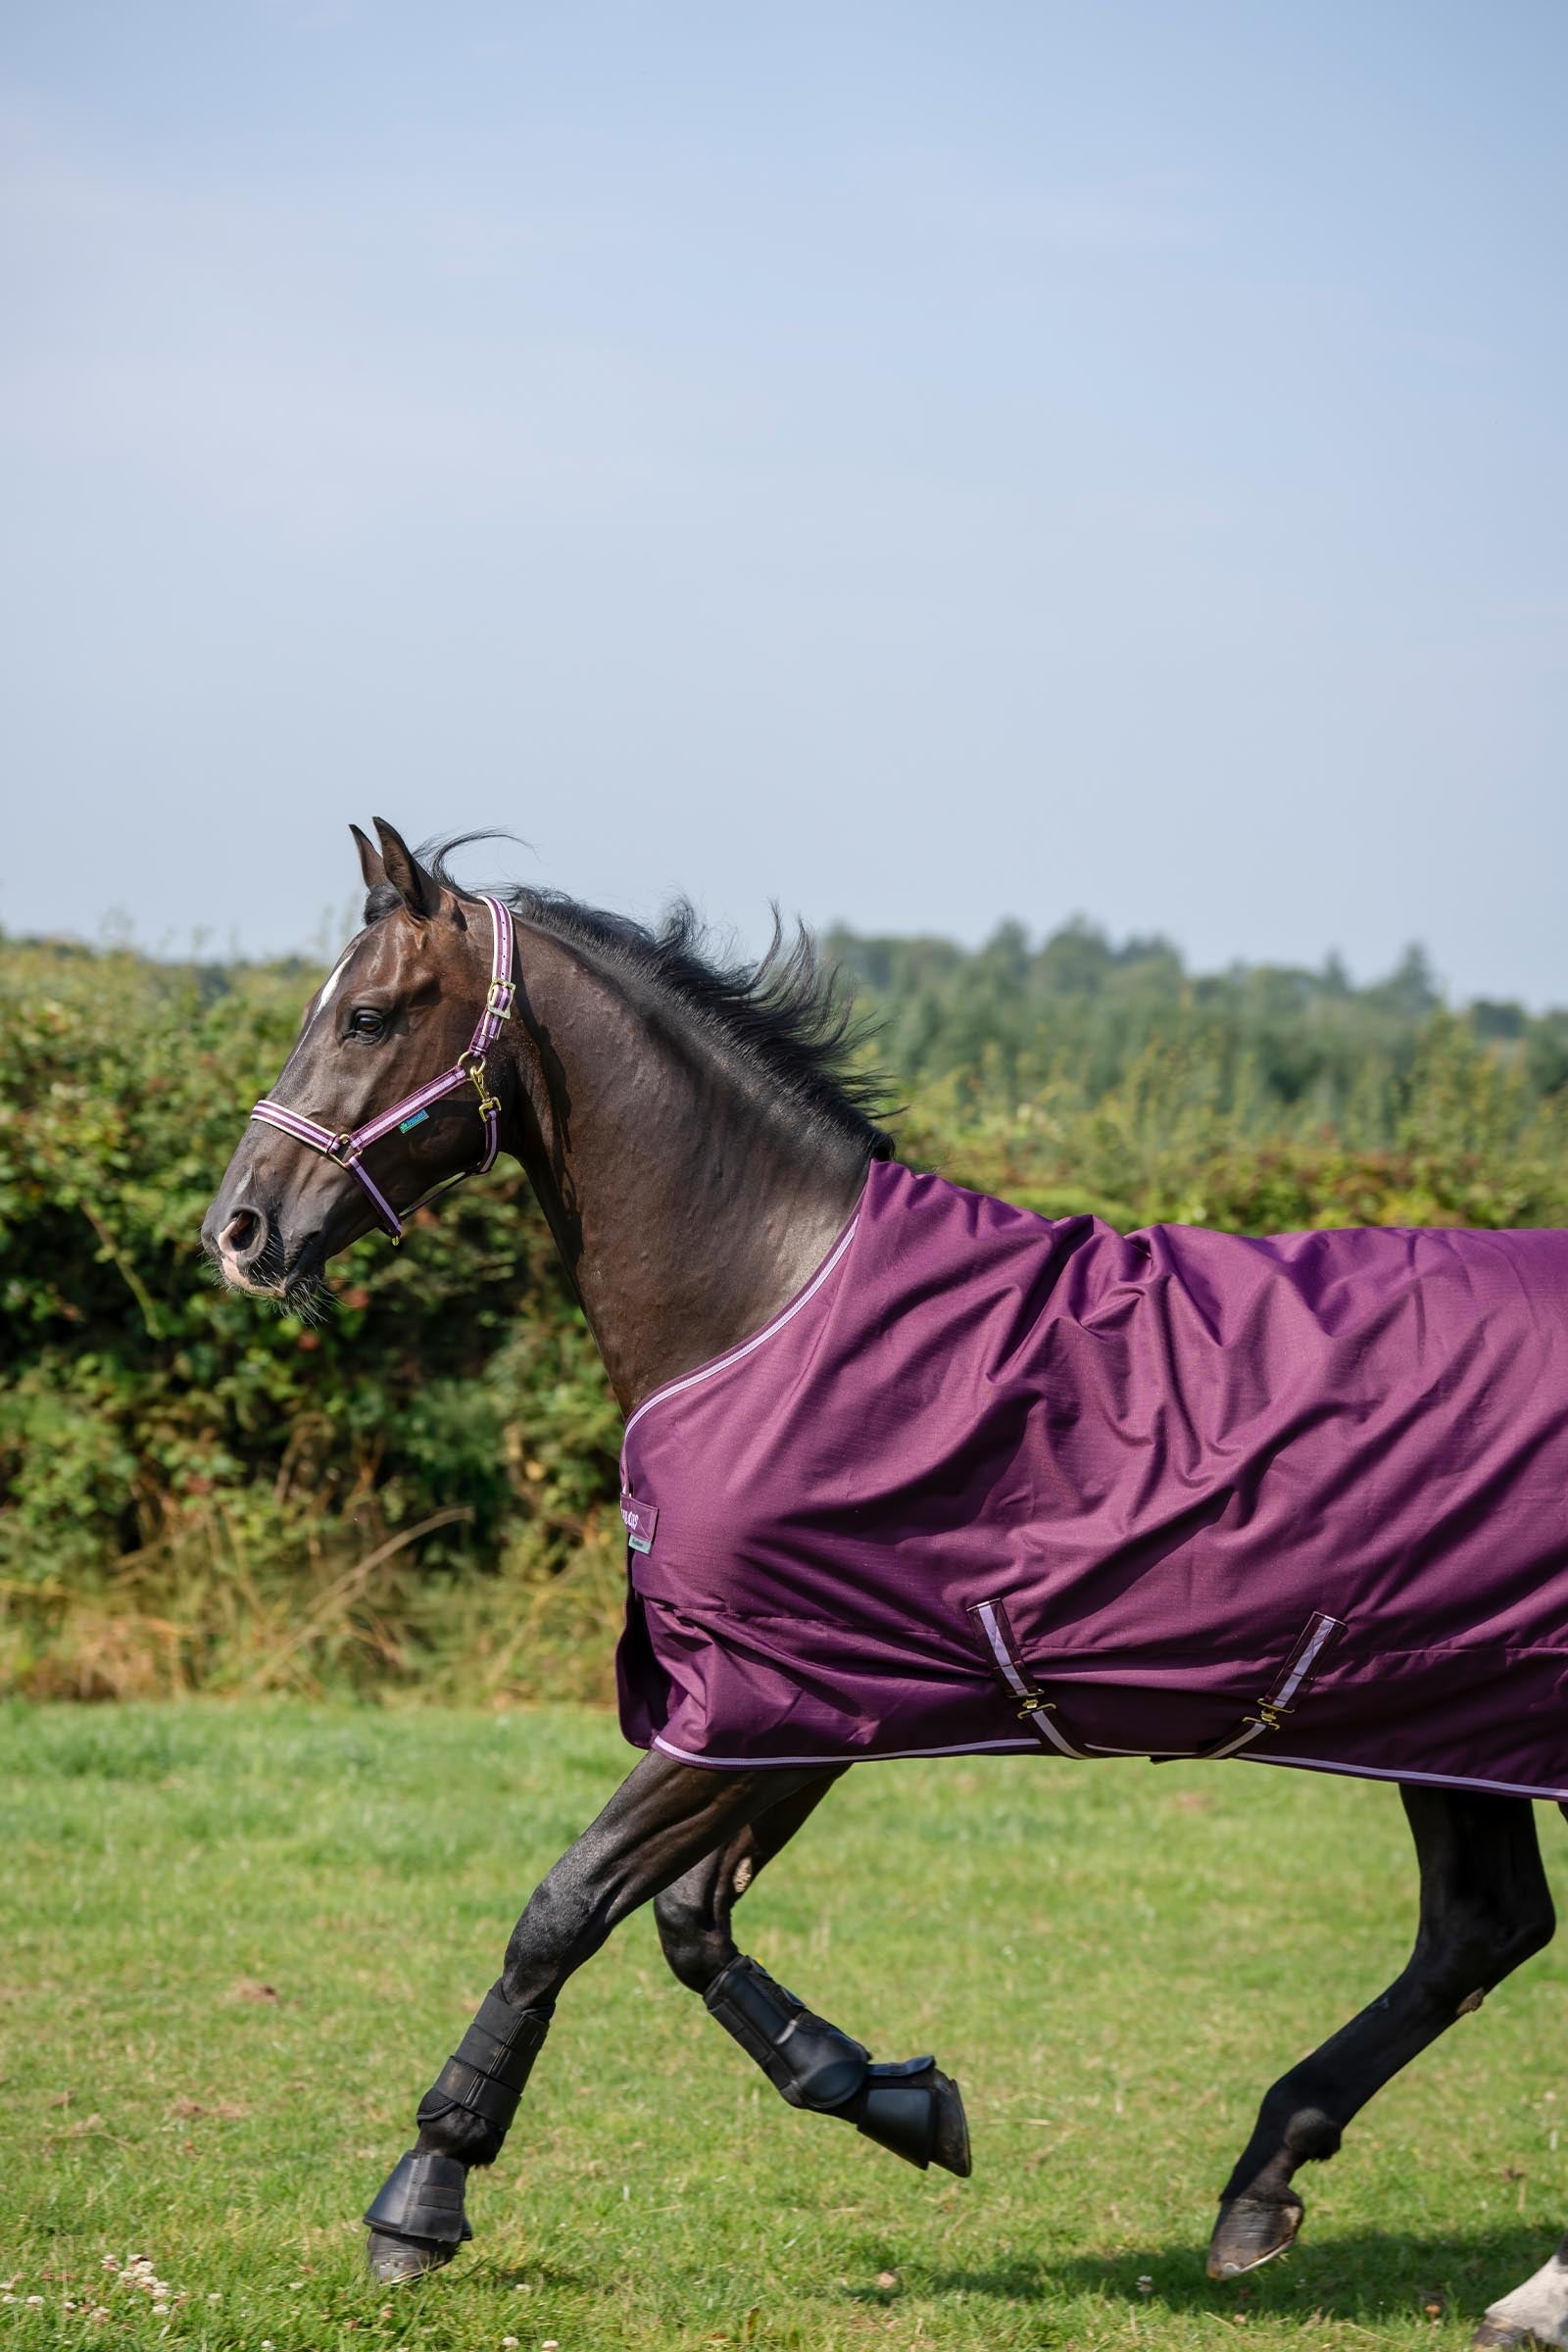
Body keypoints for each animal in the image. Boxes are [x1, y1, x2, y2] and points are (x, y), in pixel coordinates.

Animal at [202, 819, 1568, 2352]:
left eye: (370, 1017)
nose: (239, 1231)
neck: (769, 1304)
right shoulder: (799, 1712)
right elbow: (688, 1923)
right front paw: (899, 2103)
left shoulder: (761, 1701)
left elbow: (567, 1907)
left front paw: (422, 2197)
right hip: (1447, 1713)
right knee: (1481, 1928)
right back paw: (1270, 2185)